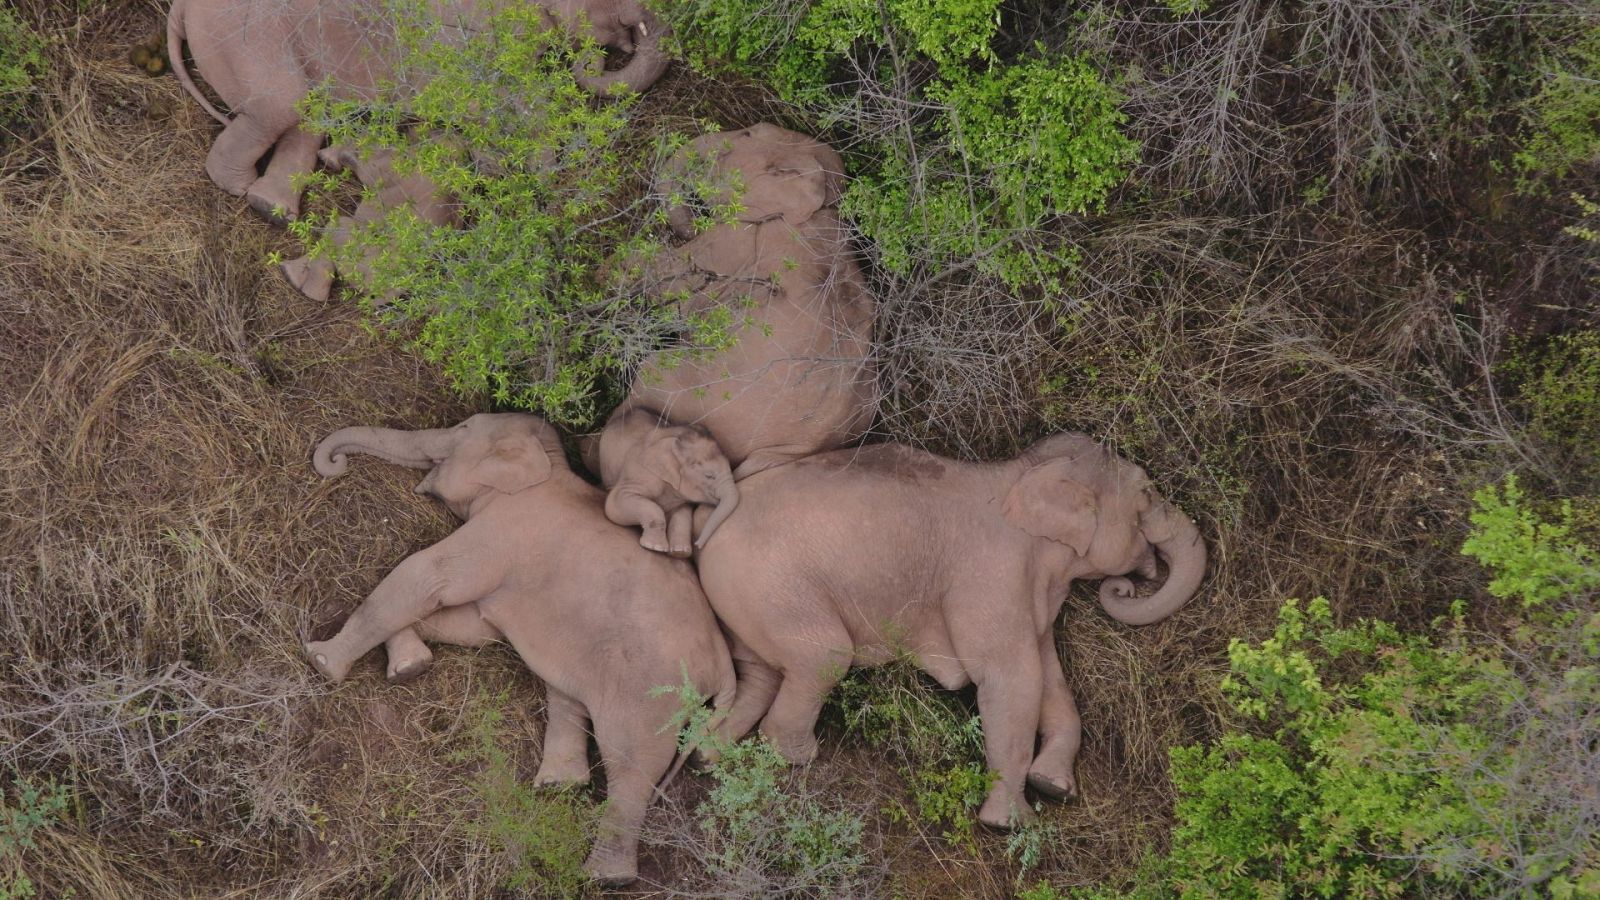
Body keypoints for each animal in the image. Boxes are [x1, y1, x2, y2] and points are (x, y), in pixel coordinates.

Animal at [172, 0, 672, 224]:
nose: (599, 57)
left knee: (309, 114)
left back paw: (271, 208)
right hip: (249, 38)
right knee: (285, 104)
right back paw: (241, 190)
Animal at [299, 413, 732, 883]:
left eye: (461, 429)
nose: (336, 463)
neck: (547, 464)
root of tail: (724, 665)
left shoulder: (503, 529)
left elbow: (428, 577)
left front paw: (321, 660)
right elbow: (473, 626)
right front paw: (410, 667)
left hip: (652, 693)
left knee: (631, 763)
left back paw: (604, 875)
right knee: (567, 694)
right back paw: (559, 786)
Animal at [694, 432, 1203, 826]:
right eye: (1148, 495)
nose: (1125, 587)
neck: (1022, 474)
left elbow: (1050, 678)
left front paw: (1054, 786)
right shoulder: (990, 578)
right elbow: (1011, 678)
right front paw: (1009, 823)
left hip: (746, 600)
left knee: (761, 674)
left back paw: (709, 756)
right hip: (770, 584)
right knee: (825, 657)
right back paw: (796, 757)